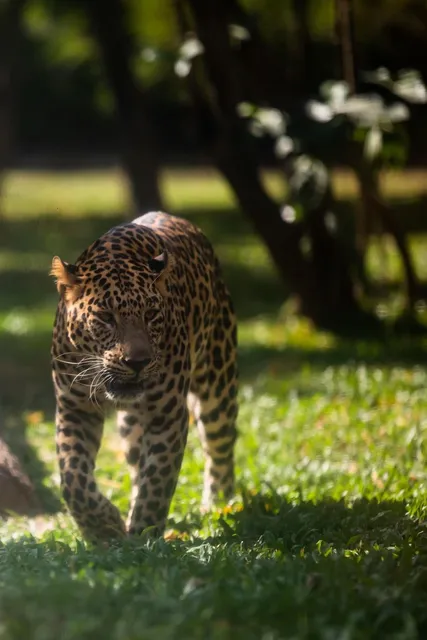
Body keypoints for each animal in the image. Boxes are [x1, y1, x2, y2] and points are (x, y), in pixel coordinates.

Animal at [50, 211, 238, 541]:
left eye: (151, 315)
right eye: (106, 318)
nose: (137, 362)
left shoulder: (168, 414)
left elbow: (159, 478)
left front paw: (143, 535)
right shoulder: (74, 408)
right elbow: (73, 478)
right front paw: (104, 527)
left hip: (218, 384)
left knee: (220, 448)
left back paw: (218, 504)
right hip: (131, 429)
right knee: (138, 465)